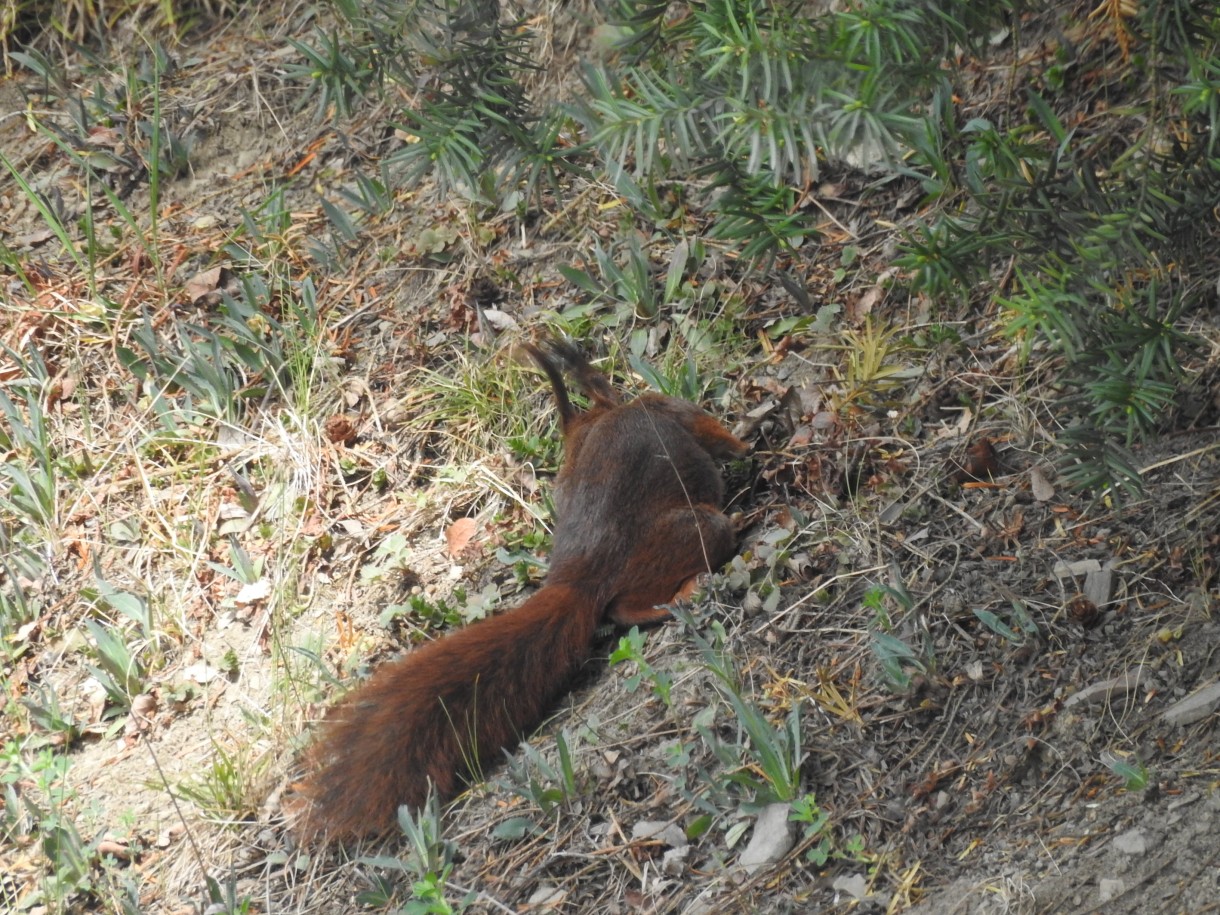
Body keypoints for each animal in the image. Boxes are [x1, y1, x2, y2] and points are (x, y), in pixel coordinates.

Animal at [298, 341, 746, 839]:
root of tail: (577, 576)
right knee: (631, 602)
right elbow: (715, 432)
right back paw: (694, 580)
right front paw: (750, 436)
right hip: (689, 533)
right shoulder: (676, 411)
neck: (605, 413)